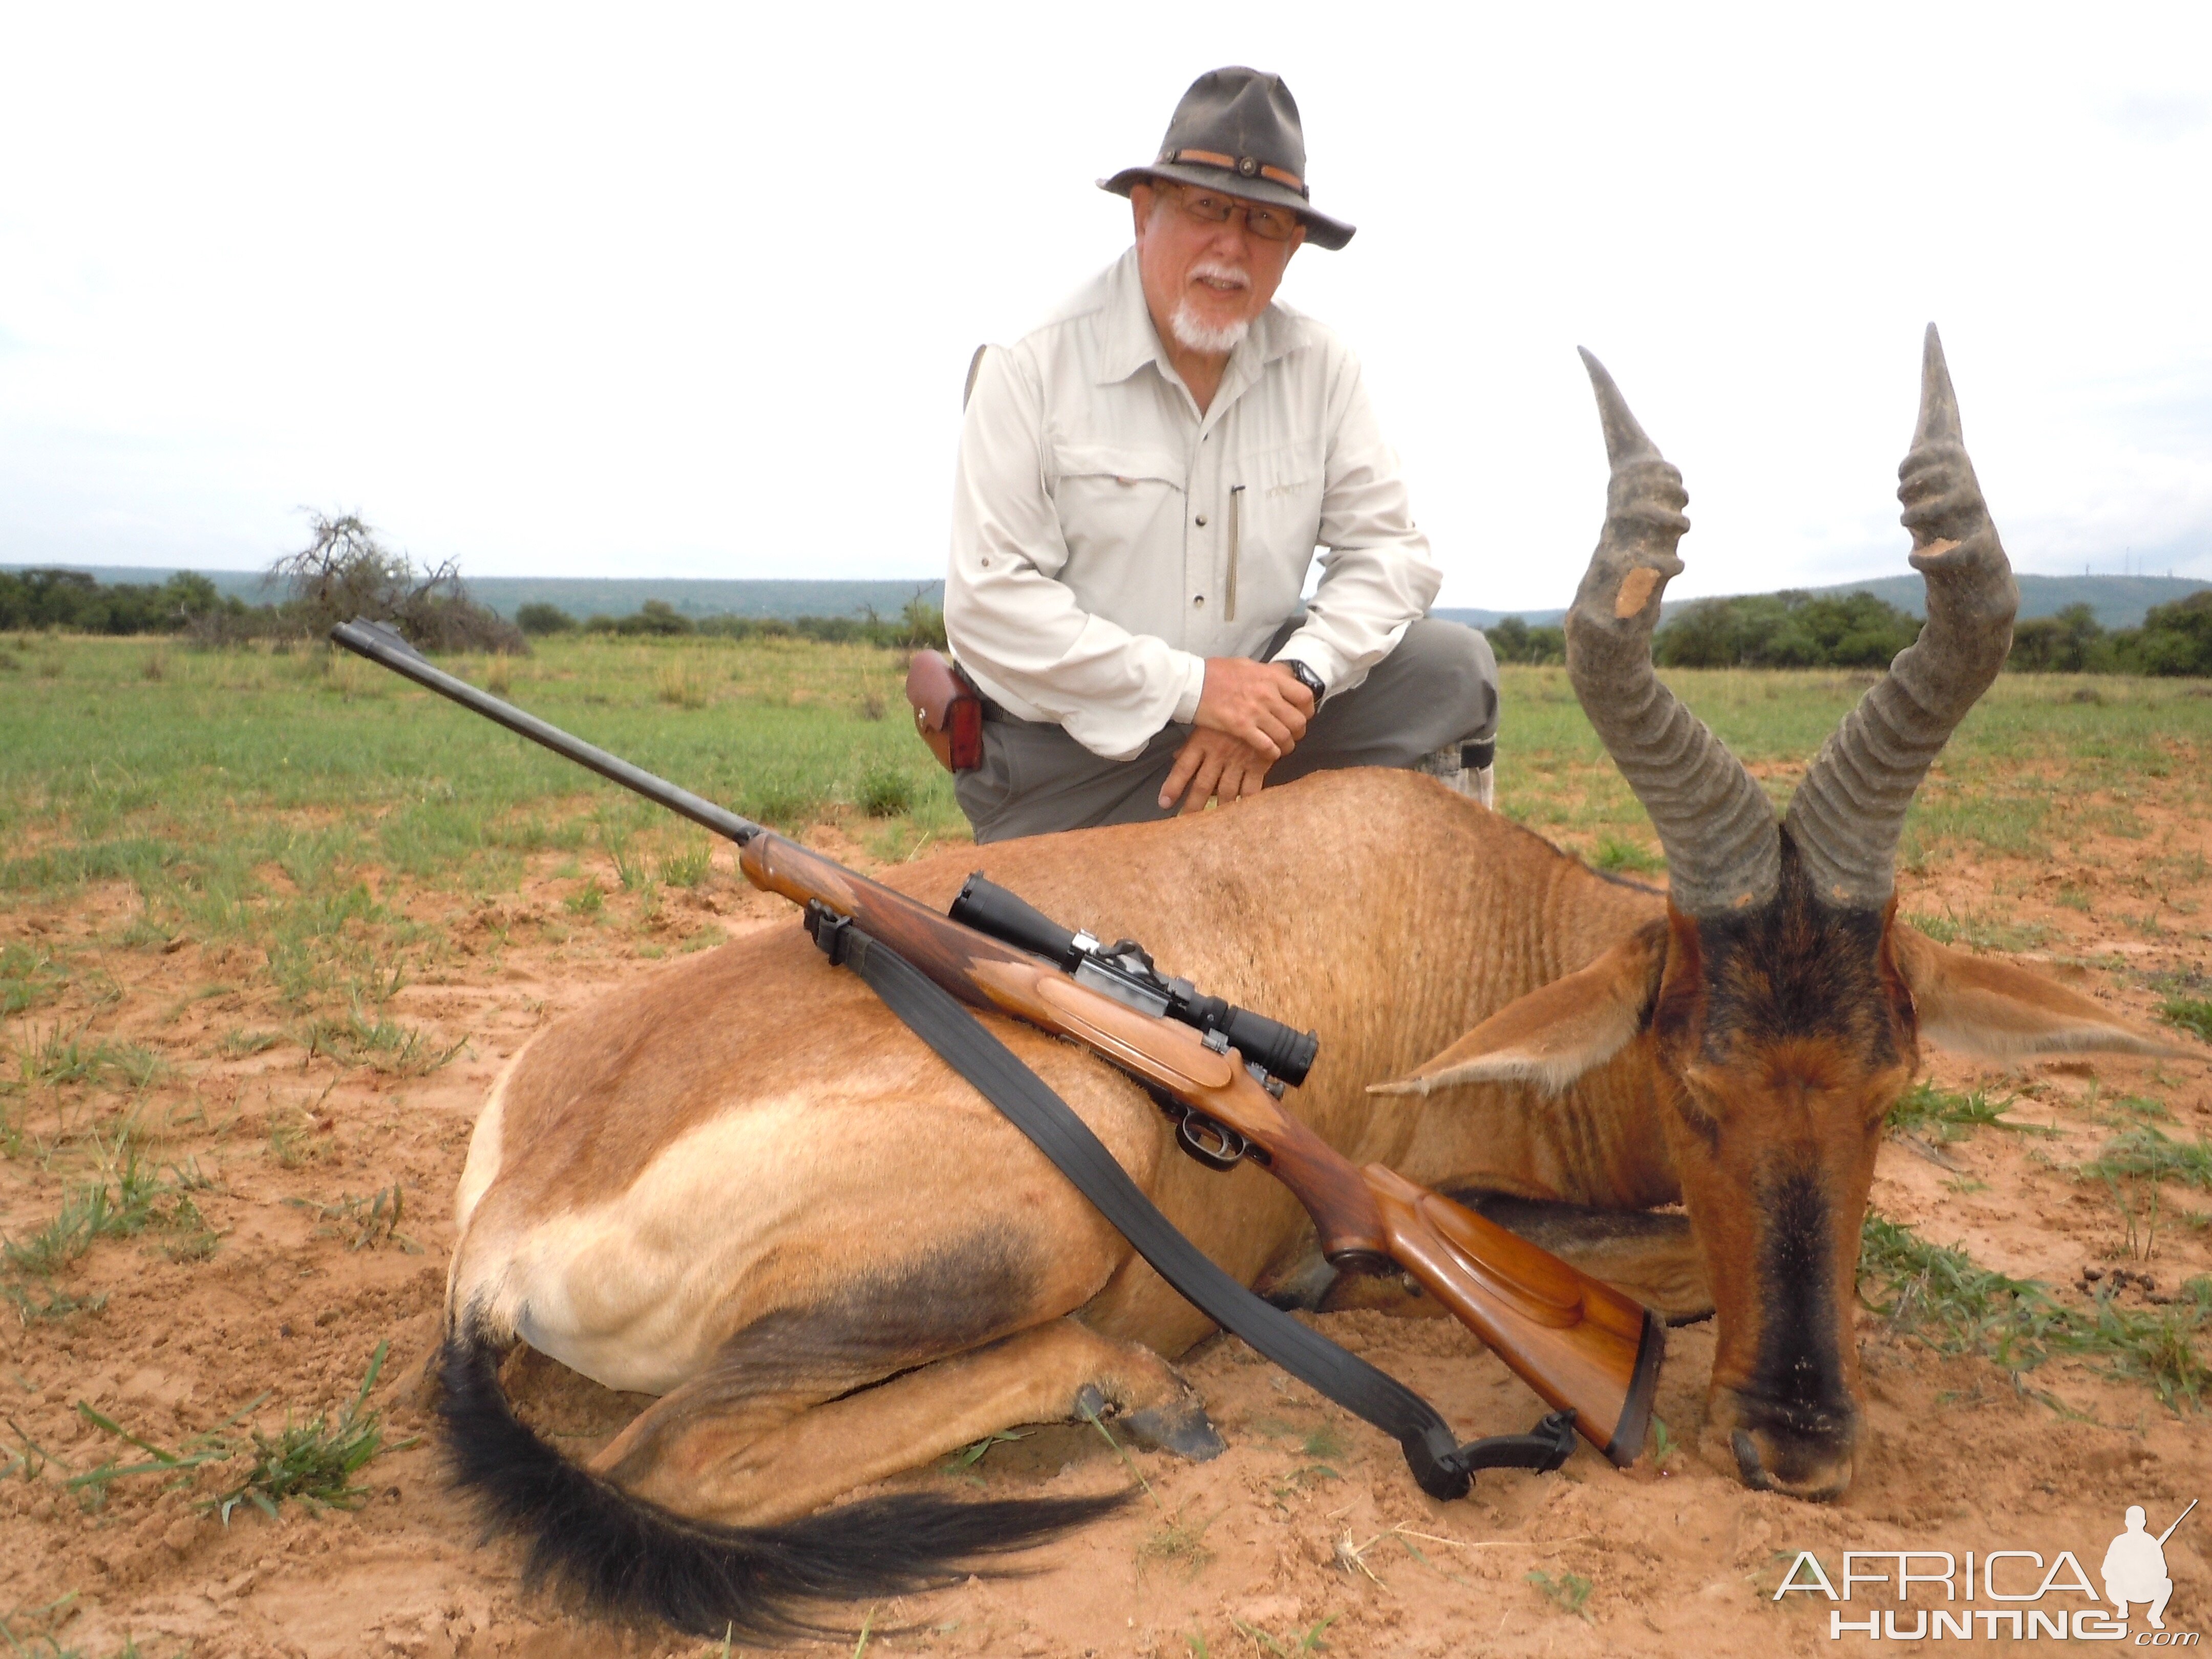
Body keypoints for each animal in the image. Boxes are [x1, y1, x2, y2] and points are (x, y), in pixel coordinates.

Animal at [436, 327, 2176, 1636]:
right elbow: (1667, 1268)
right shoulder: (1443, 1209)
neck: (1478, 903)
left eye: (1894, 1080)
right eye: (1695, 1079)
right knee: (674, 1454)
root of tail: (513, 1216)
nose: (1798, 1451)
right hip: (1069, 1166)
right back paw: (1139, 1391)